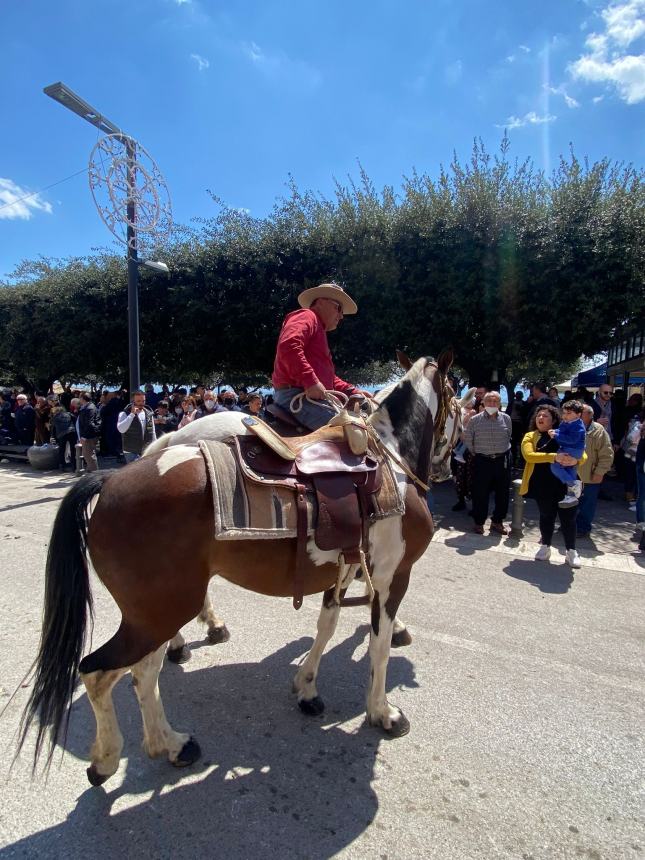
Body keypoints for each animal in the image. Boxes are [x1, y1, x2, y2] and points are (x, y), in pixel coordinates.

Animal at [17, 350, 456, 788]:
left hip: (153, 614)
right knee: (99, 671)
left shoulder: (344, 570)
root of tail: (110, 480)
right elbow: (378, 648)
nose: (446, 468)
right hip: (158, 613)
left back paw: (169, 741)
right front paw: (382, 711)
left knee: (142, 673)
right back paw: (113, 755)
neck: (390, 460)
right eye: (455, 397)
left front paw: (307, 688)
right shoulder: (391, 576)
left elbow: (326, 626)